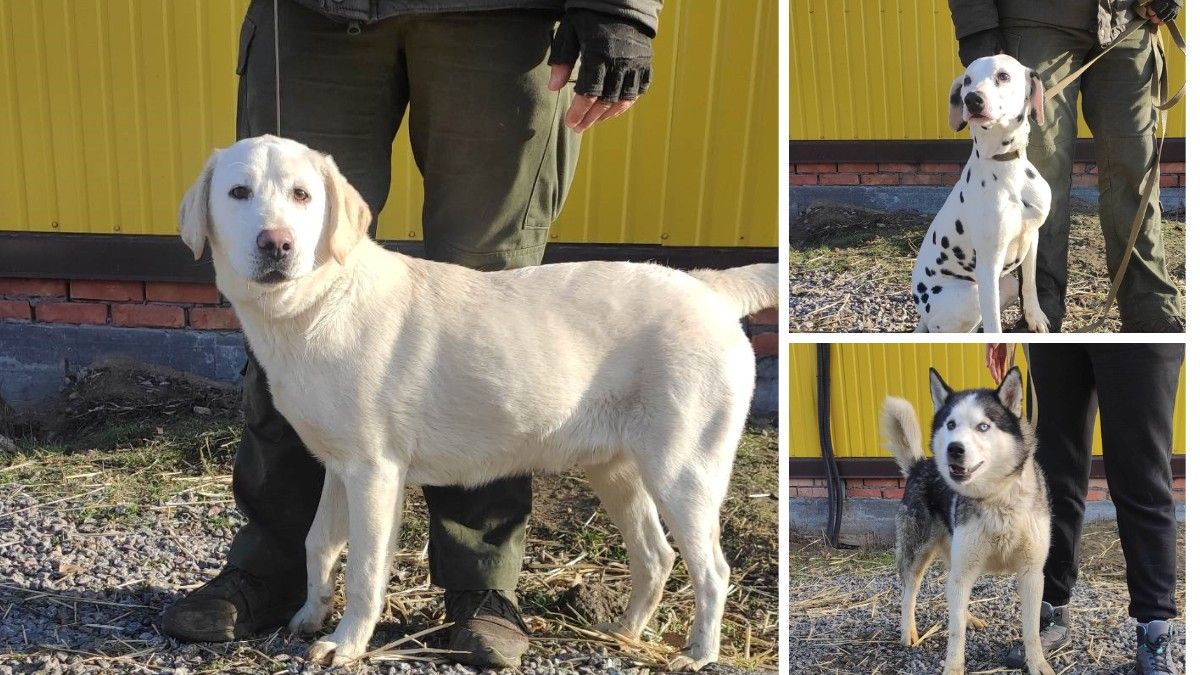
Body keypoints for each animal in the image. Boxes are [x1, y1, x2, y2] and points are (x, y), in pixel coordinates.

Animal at [177, 132, 777, 667]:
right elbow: (317, 542)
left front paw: (346, 644)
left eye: (302, 195)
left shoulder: (375, 473)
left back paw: (698, 653)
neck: (318, 304)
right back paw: (625, 633)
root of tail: (708, 288)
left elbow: (365, 569)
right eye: (238, 193)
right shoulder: (337, 467)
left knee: (712, 570)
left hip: (683, 471)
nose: (277, 243)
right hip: (616, 470)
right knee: (655, 556)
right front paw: (308, 615)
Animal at [883, 367, 1051, 672]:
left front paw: (1038, 665)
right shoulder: (964, 570)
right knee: (909, 594)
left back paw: (968, 616)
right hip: (917, 553)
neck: (997, 499)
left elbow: (1032, 631)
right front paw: (953, 667)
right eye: (950, 424)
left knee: (951, 592)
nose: (954, 449)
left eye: (983, 426)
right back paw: (908, 631)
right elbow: (954, 632)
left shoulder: (1032, 573)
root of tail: (919, 464)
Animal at [907, 53, 1051, 331]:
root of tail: (925, 317)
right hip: (970, 295)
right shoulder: (988, 266)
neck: (1004, 165)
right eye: (967, 80)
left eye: (1003, 75)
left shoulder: (1033, 238)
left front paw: (1034, 317)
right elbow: (994, 323)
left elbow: (1029, 285)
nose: (972, 99)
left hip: (1006, 285)